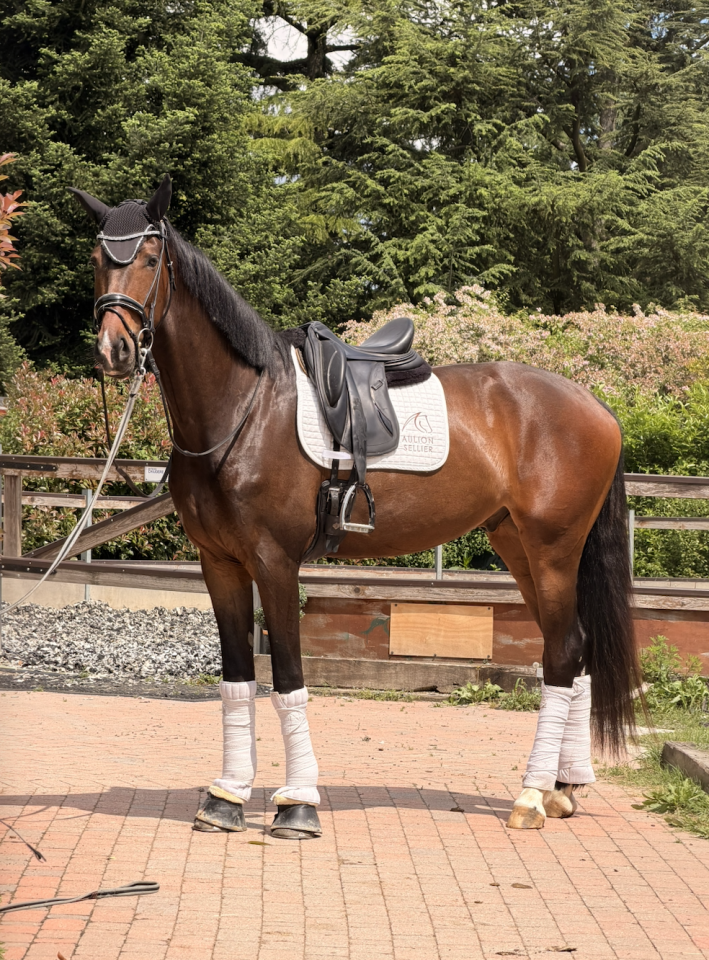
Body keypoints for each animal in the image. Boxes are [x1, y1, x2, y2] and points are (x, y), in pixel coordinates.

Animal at [69, 174, 640, 838]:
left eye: (151, 258)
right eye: (97, 259)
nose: (113, 348)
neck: (245, 407)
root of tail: (595, 406)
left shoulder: (274, 563)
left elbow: (287, 678)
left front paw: (296, 804)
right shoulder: (220, 564)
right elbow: (237, 678)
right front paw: (227, 797)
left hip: (553, 549)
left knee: (564, 652)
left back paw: (530, 795)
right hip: (518, 545)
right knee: (569, 650)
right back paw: (562, 787)